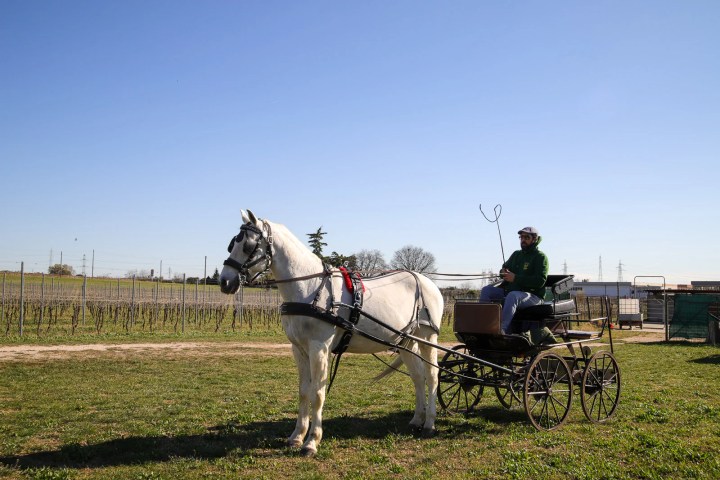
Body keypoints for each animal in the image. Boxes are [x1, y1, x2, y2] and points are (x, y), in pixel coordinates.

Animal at [219, 210, 444, 457]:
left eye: (248, 246)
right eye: (232, 243)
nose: (224, 281)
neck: (310, 287)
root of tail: (428, 282)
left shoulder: (319, 347)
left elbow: (318, 393)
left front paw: (311, 442)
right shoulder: (299, 349)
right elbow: (304, 391)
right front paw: (297, 436)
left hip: (428, 338)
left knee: (432, 375)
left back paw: (430, 424)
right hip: (406, 342)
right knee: (418, 376)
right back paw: (417, 420)